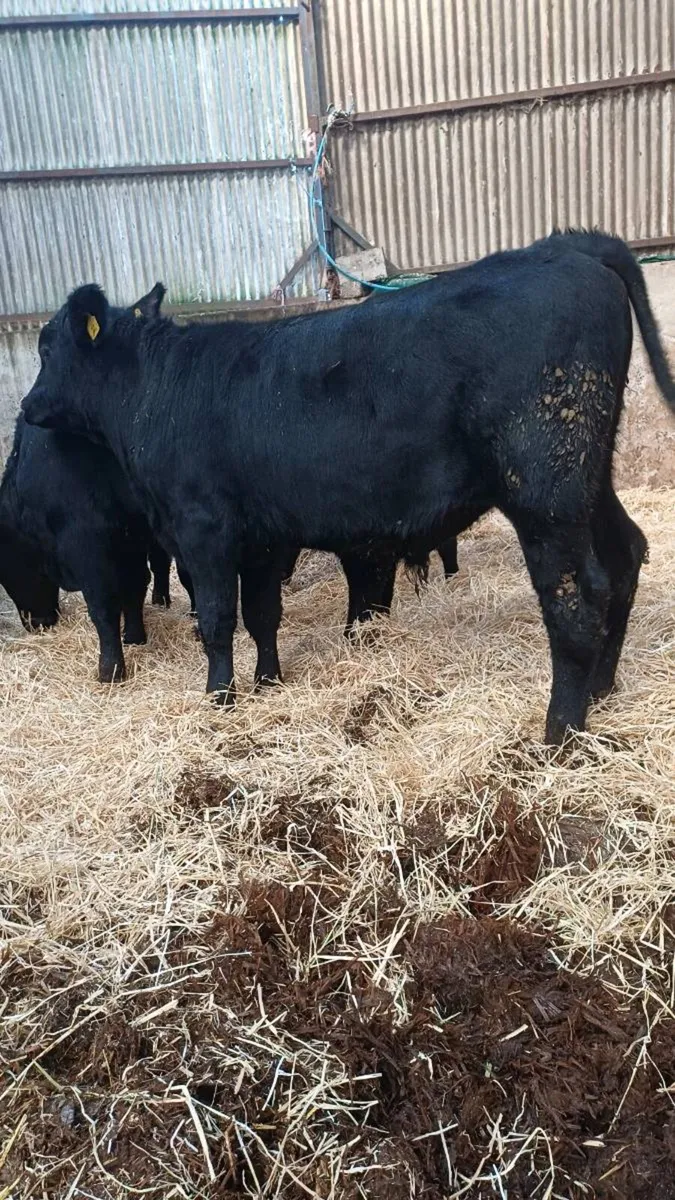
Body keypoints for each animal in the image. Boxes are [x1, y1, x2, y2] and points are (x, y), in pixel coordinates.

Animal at [22, 230, 675, 743]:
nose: (26, 406)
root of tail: (564, 248)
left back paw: (560, 731)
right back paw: (603, 690)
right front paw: (268, 682)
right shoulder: (261, 536)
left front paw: (219, 698)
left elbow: (216, 618)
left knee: (576, 597)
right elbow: (263, 613)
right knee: (626, 555)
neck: (155, 392)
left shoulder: (202, 529)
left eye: (47, 348)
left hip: (545, 490)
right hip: (588, 476)